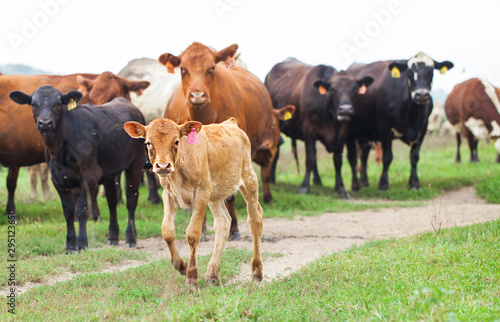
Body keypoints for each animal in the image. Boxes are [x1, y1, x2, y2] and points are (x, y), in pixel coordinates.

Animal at [9, 86, 146, 252]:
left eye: (58, 104)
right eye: (34, 104)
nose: (45, 123)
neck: (59, 149)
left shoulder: (89, 176)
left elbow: (82, 210)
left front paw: (81, 243)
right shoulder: (57, 179)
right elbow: (68, 211)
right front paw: (69, 244)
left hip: (136, 163)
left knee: (131, 198)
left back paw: (130, 237)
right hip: (110, 170)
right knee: (112, 199)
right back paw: (113, 236)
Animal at [123, 117, 264, 286]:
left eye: (176, 141)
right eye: (148, 142)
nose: (163, 166)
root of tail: (230, 122)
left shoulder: (201, 193)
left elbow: (193, 234)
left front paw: (191, 276)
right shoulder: (168, 194)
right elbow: (167, 231)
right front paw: (181, 266)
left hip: (249, 180)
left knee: (255, 221)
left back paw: (256, 271)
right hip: (215, 195)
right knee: (223, 222)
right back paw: (212, 273)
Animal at [159, 42, 292, 239]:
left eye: (212, 68)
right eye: (183, 69)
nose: (197, 95)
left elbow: (230, 196)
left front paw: (234, 228)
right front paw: (202, 229)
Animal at [264, 58, 374, 197]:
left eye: (354, 89)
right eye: (333, 89)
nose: (346, 110)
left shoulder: (343, 132)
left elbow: (337, 160)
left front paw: (341, 188)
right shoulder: (308, 129)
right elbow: (310, 159)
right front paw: (304, 187)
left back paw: (317, 181)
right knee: (277, 151)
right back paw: (272, 179)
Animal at [346, 51, 456, 190]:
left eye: (431, 71)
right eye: (410, 72)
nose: (421, 95)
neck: (412, 114)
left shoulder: (422, 129)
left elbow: (414, 156)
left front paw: (414, 183)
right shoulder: (385, 128)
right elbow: (387, 157)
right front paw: (383, 184)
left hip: (365, 133)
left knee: (364, 155)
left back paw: (364, 182)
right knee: (353, 157)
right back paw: (356, 185)